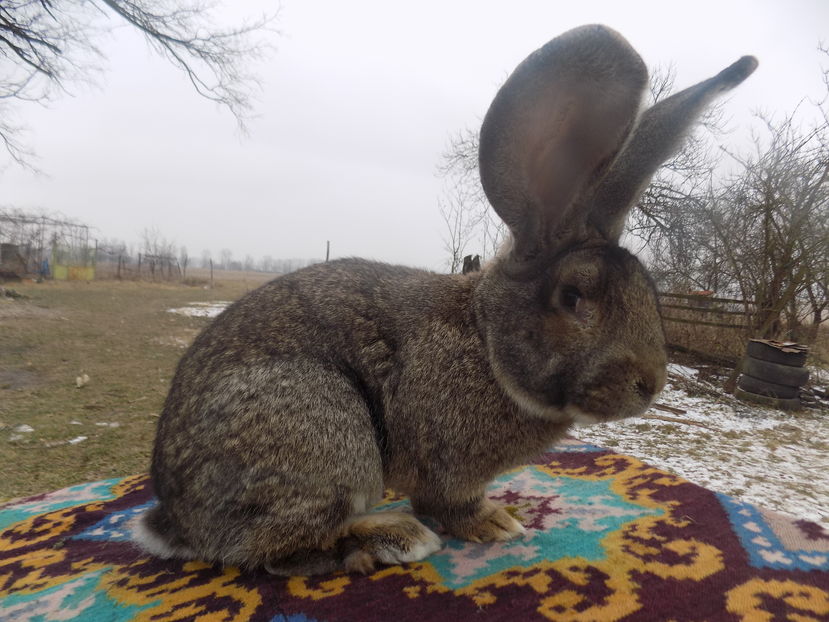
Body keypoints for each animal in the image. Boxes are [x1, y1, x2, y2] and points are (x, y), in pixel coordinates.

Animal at [134, 24, 757, 575]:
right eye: (574, 296)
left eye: (647, 292)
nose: (650, 384)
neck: (485, 340)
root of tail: (175, 520)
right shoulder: (444, 464)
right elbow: (448, 503)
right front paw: (494, 523)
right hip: (322, 429)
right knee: (271, 549)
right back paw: (390, 539)